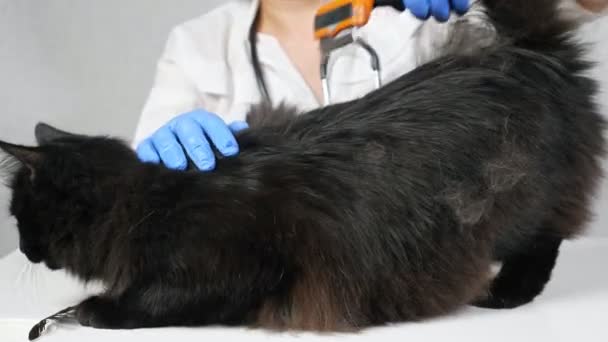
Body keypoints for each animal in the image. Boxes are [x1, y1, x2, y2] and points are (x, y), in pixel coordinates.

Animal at [0, 0, 604, 332]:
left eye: (20, 217)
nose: (24, 251)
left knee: (546, 238)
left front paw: (87, 310)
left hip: (519, 199)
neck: (147, 202)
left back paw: (507, 292)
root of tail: (529, 53)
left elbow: (149, 300)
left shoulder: (229, 264)